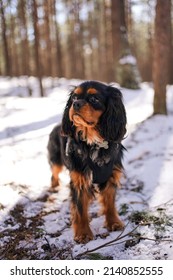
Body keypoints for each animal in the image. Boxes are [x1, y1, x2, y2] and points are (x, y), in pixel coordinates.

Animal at [47, 80, 127, 243]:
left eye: (94, 99)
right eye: (74, 97)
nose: (76, 104)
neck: (94, 141)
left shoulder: (110, 176)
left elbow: (110, 202)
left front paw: (113, 222)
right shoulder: (80, 180)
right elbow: (80, 209)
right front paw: (83, 233)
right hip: (56, 159)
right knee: (54, 173)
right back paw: (54, 187)